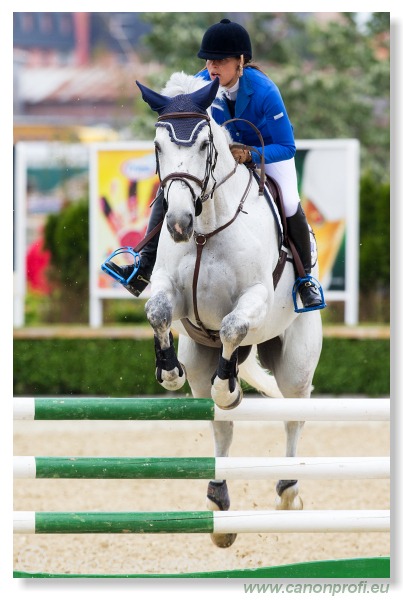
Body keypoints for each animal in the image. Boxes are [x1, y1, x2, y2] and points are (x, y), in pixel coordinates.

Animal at [139, 72, 322, 548]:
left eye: (205, 144)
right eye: (157, 146)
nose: (178, 223)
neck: (207, 229)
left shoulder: (253, 298)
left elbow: (232, 326)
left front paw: (230, 388)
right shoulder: (169, 289)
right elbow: (159, 312)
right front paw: (168, 371)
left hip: (296, 362)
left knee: (294, 413)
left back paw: (288, 492)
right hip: (201, 358)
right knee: (220, 423)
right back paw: (218, 500)